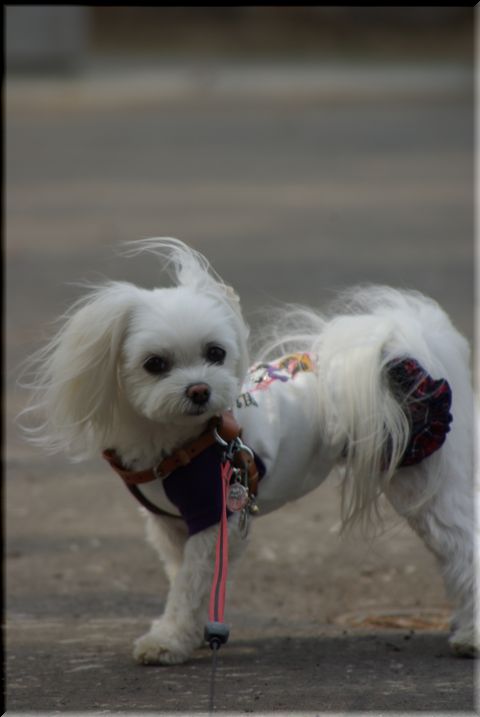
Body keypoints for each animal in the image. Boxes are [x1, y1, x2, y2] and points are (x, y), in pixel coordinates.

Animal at [21, 237, 476, 663]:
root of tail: (408, 352)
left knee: (462, 546)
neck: (180, 440)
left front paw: (167, 640)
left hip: (423, 483)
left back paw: (470, 635)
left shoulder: (215, 514)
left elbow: (189, 584)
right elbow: (183, 575)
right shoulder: (172, 524)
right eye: (154, 364)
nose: (199, 390)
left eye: (215, 353)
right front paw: (194, 632)